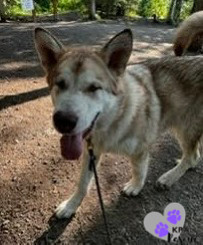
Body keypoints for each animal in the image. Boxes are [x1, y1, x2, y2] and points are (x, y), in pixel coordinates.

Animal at [34, 27, 202, 219]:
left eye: (93, 88)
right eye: (60, 84)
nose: (64, 121)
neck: (113, 120)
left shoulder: (140, 150)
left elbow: (139, 171)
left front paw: (135, 187)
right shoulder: (91, 152)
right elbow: (82, 184)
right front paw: (71, 205)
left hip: (186, 128)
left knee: (192, 156)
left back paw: (169, 177)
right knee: (195, 156)